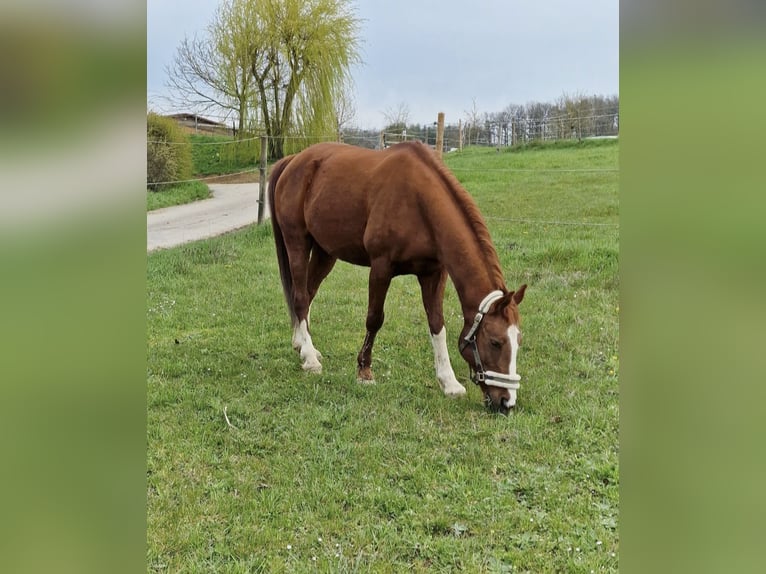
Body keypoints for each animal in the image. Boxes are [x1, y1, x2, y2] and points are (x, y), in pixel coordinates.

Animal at [268, 143, 524, 414]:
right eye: (495, 342)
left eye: (518, 340)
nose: (506, 402)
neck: (420, 203)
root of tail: (294, 160)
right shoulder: (381, 267)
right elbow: (374, 319)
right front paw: (364, 371)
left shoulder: (433, 273)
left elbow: (437, 324)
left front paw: (449, 383)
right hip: (297, 241)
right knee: (299, 297)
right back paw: (309, 357)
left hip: (325, 252)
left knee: (308, 293)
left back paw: (303, 345)